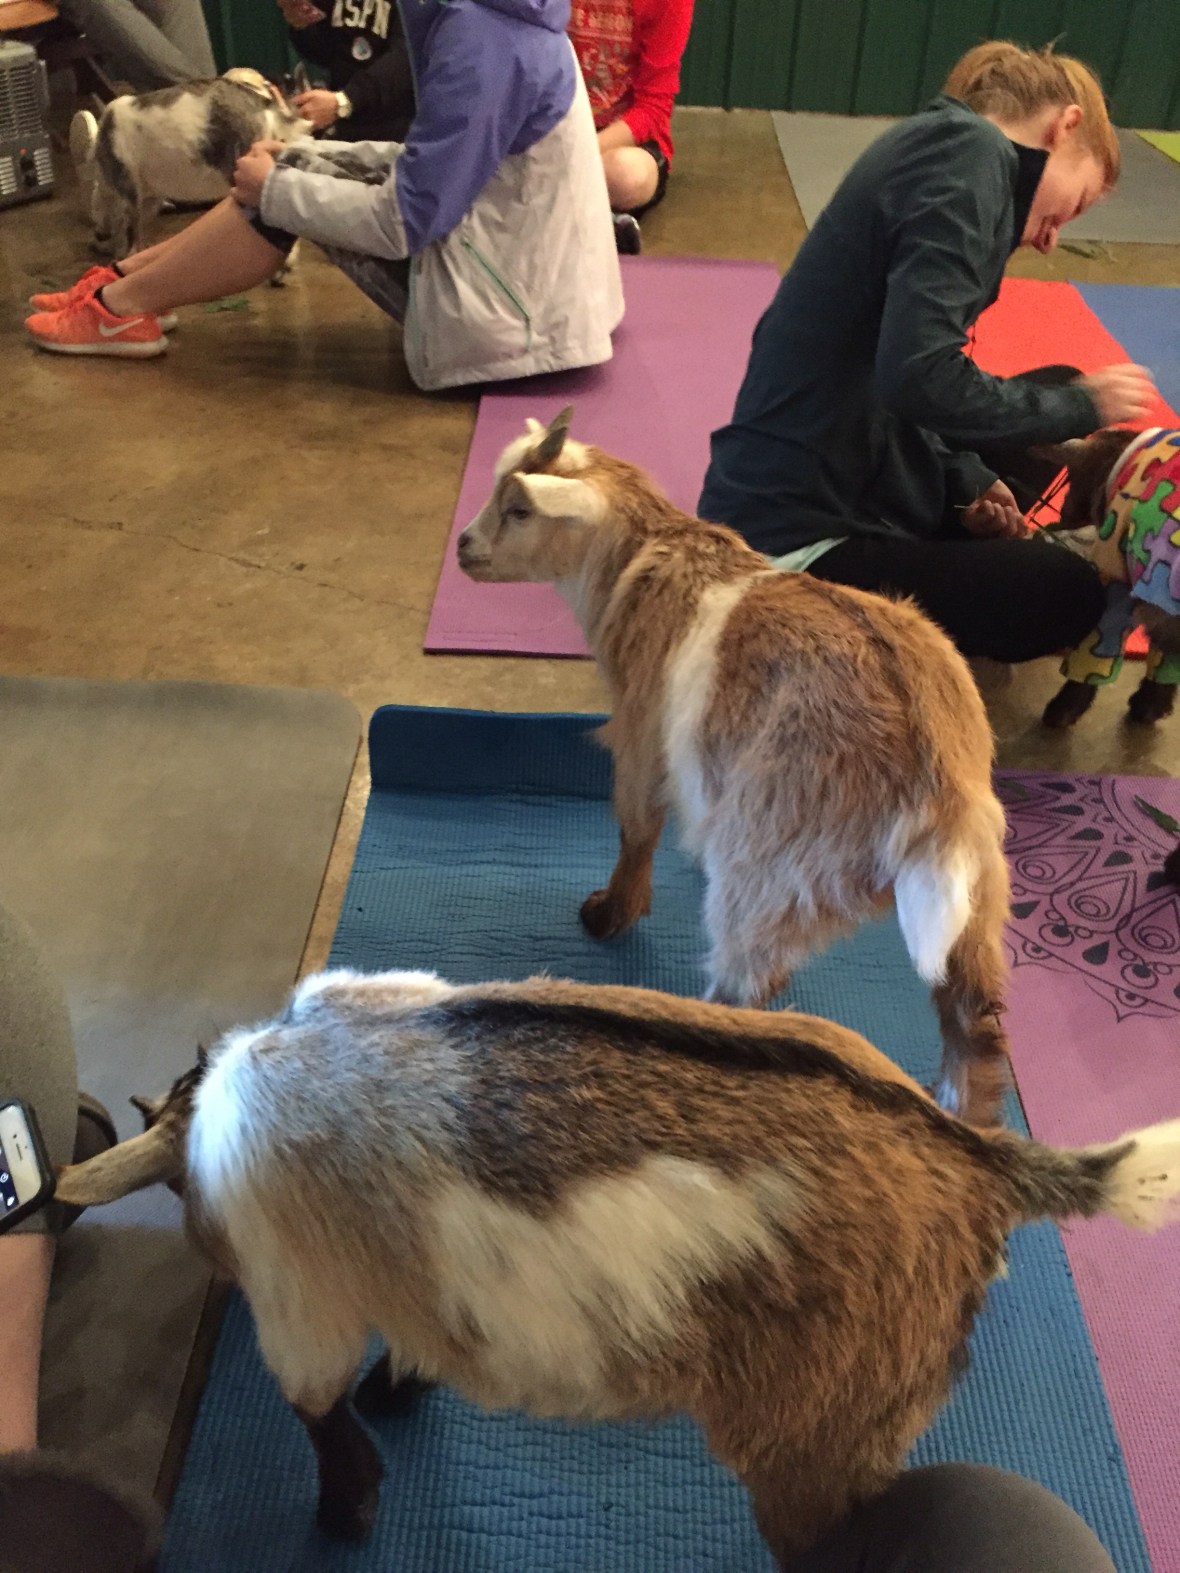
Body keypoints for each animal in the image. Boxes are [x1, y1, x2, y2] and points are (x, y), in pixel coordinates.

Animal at [54, 970, 1180, 1561]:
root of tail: (977, 1159)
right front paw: (405, 1382)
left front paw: (348, 1510)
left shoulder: (301, 1308)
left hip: (817, 1438)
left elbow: (322, 1415)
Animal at [457, 408, 1014, 1126]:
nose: (463, 546)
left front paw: (609, 913)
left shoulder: (643, 735)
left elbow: (636, 826)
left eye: (520, 508)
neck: (645, 558)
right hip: (979, 889)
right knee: (974, 1015)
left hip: (772, 867)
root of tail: (936, 788)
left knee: (747, 984)